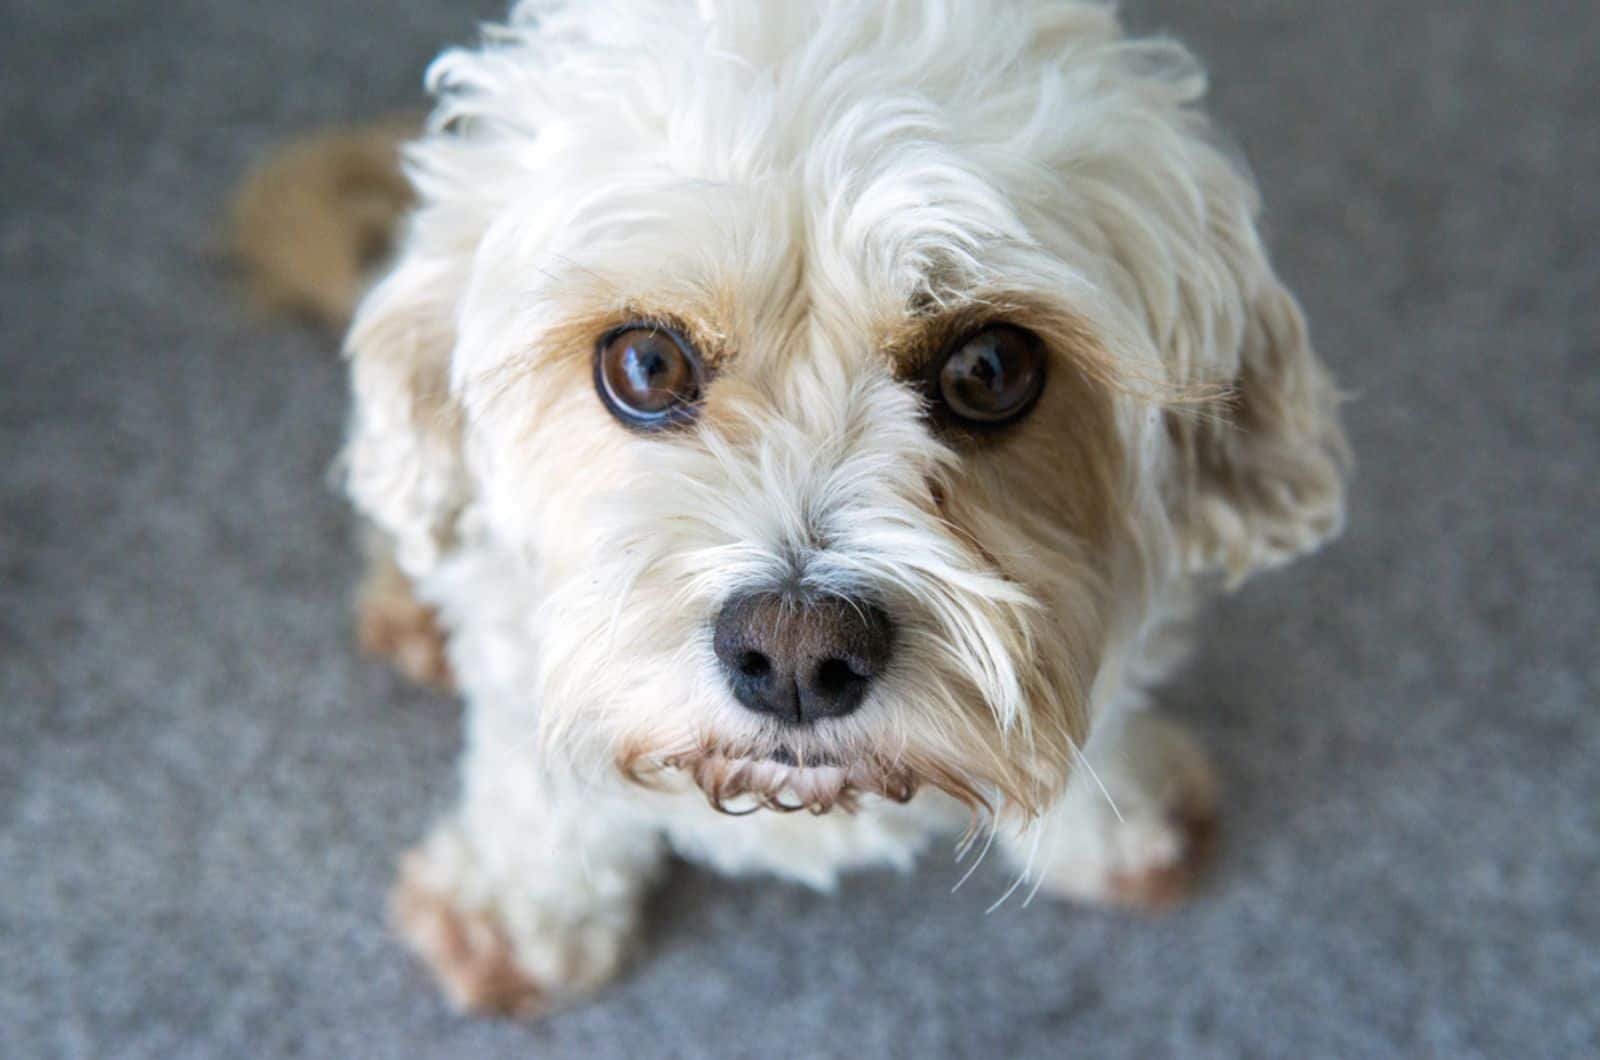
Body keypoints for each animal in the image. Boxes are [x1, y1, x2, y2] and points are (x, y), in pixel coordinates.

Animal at [228, 0, 1350, 1018]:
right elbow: (541, 786)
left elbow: (1098, 725)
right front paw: (524, 908)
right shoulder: (522, 666)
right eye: (646, 363)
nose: (798, 654)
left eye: (989, 368)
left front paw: (1111, 823)